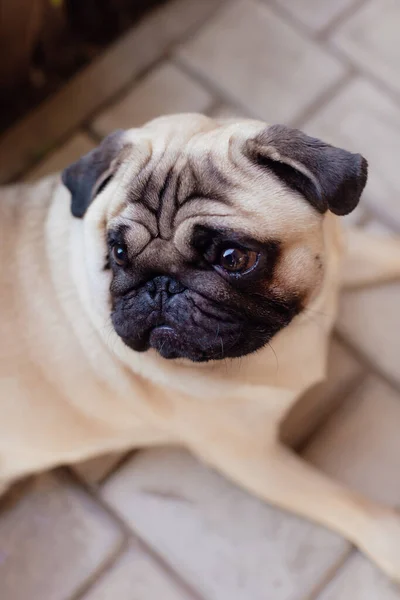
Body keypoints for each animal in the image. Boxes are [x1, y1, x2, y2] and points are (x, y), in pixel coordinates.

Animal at [2, 113, 400, 580]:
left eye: (233, 258)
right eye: (117, 253)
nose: (160, 285)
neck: (294, 329)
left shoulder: (339, 259)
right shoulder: (248, 456)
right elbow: (341, 501)